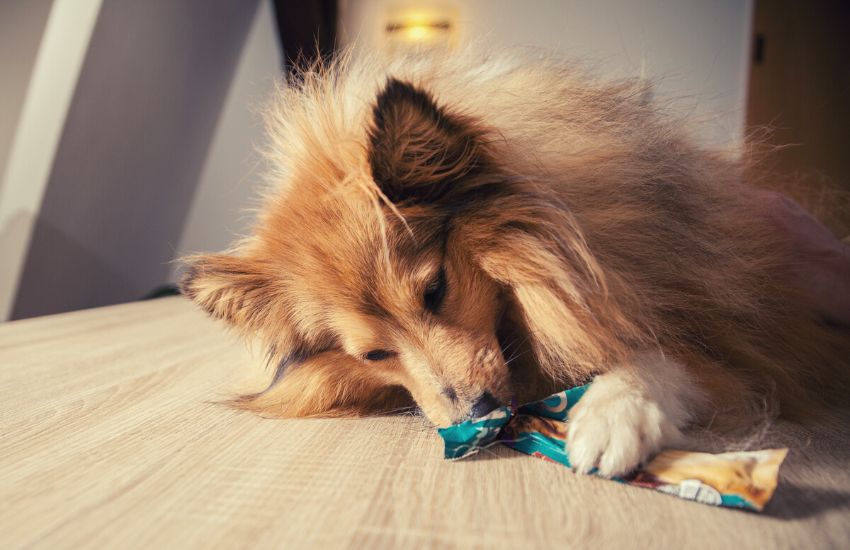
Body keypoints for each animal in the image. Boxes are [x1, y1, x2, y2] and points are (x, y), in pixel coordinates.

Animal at [181, 47, 848, 478]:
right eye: (372, 355)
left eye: (435, 290)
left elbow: (666, 355)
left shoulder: (747, 337)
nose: (477, 415)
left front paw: (613, 415)